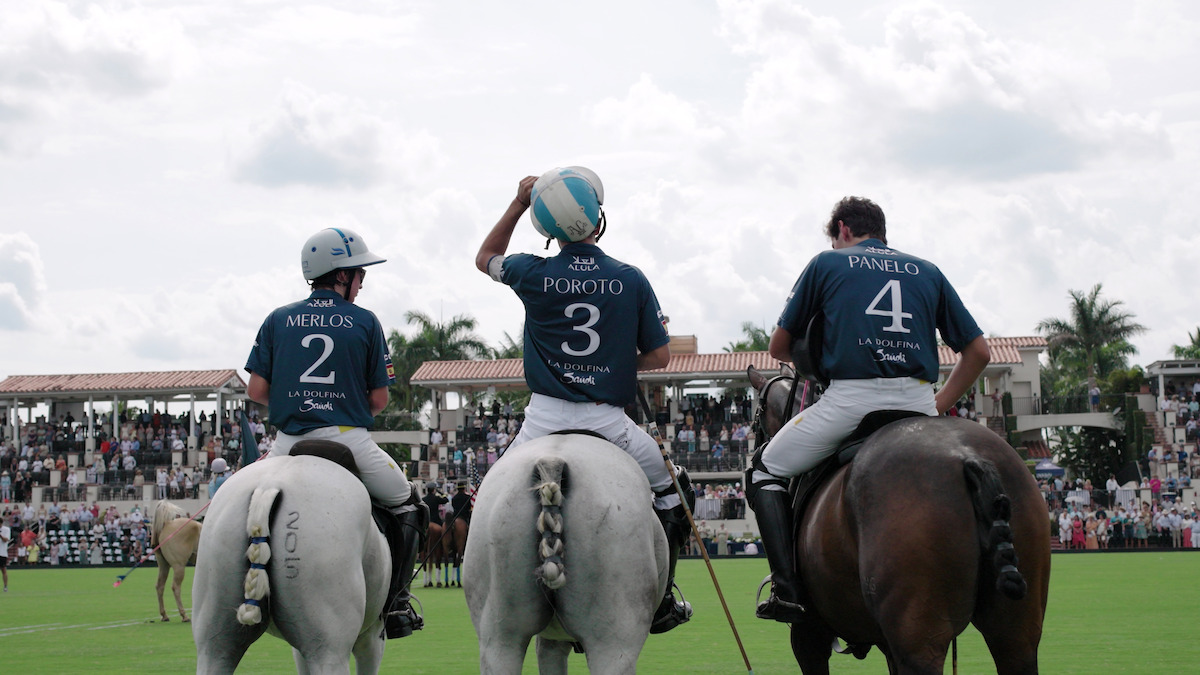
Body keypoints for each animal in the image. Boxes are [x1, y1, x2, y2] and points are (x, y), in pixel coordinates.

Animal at [748, 365, 1051, 672]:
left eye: (757, 413)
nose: (756, 443)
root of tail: (967, 455)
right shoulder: (885, 642)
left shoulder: (809, 634)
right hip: (1017, 629)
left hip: (917, 634)